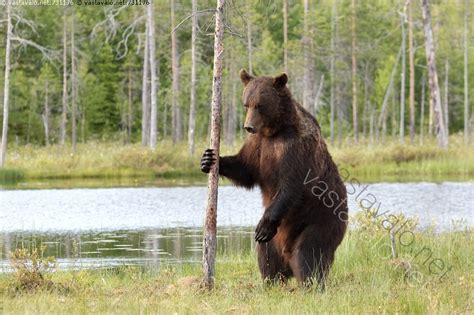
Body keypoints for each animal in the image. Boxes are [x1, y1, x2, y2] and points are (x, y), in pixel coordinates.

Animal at [200, 69, 348, 288]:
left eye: (260, 105)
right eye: (246, 103)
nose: (248, 126)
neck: (274, 131)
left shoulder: (294, 149)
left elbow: (290, 186)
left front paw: (263, 227)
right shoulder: (259, 145)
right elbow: (246, 169)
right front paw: (209, 159)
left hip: (321, 219)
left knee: (309, 253)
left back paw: (311, 283)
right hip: (277, 240)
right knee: (267, 255)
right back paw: (272, 281)